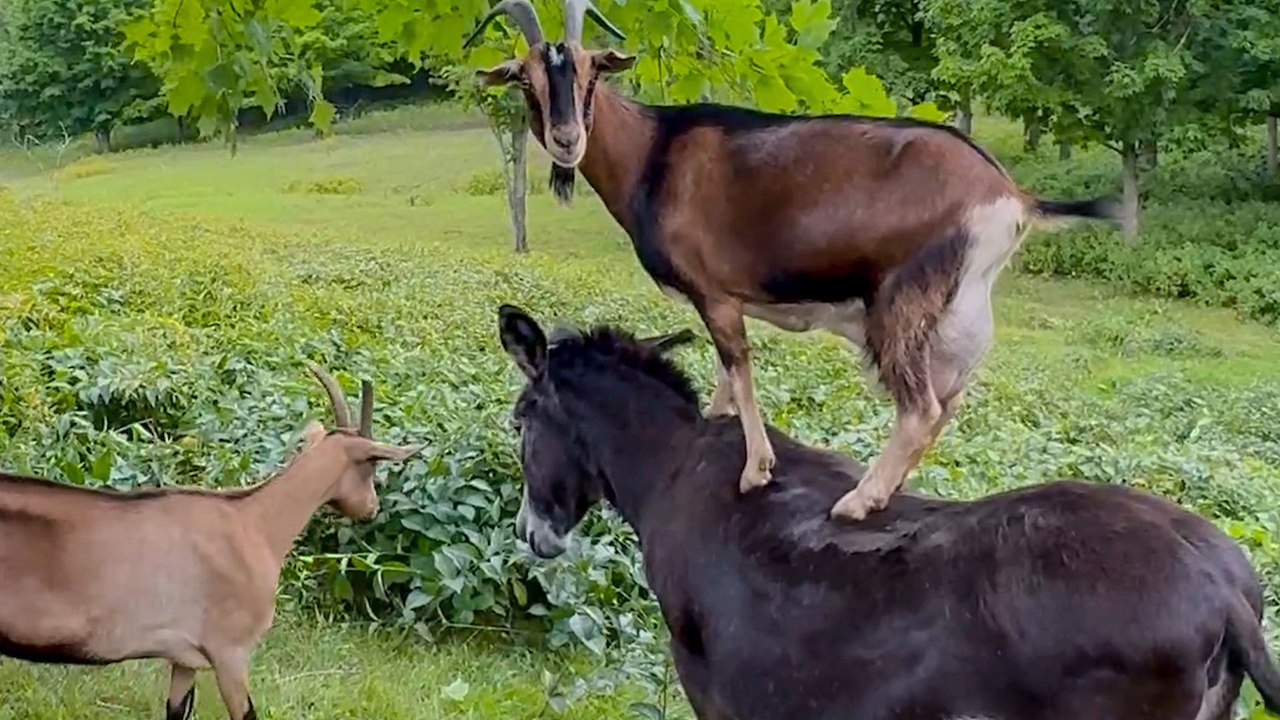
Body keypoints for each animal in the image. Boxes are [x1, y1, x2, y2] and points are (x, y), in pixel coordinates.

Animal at [465, 0, 1121, 521]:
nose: (567, 139)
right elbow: (726, 376)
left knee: (920, 407)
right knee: (948, 402)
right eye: (525, 79)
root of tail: (1013, 197)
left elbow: (738, 368)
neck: (654, 152)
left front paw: (755, 470)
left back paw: (858, 501)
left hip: (901, 301)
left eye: (588, 72)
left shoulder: (714, 292)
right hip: (959, 314)